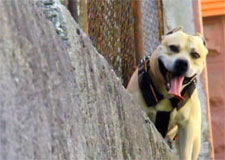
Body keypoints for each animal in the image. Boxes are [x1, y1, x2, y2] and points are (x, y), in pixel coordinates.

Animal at [127, 26, 208, 159]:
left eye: (195, 55)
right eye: (173, 48)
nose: (182, 63)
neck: (166, 95)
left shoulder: (187, 127)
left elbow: (185, 152)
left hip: (195, 141)